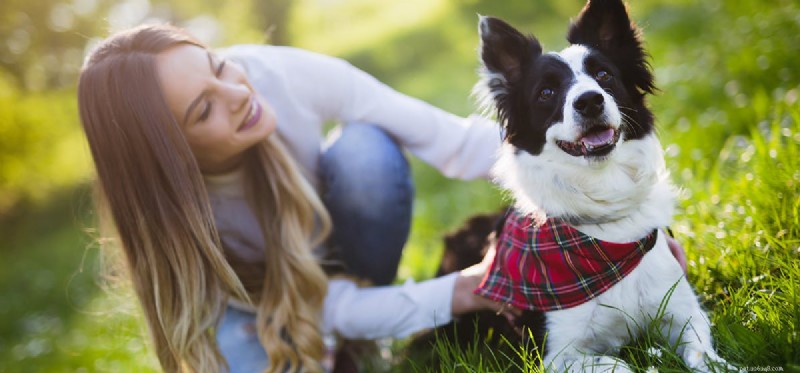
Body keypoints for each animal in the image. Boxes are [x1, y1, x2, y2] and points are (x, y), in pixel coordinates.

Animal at [454, 0, 736, 372]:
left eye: (604, 75)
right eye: (546, 92)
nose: (589, 101)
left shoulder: (682, 311)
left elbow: (704, 355)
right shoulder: (556, 354)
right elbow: (620, 364)